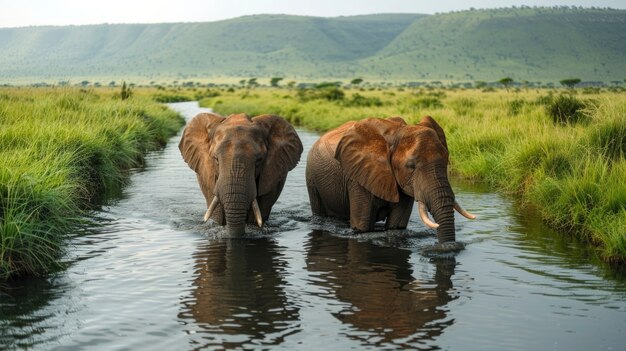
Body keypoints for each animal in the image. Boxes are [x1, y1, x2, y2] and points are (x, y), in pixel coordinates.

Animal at [304, 115, 472, 245]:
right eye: (410, 166)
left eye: (446, 161)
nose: (448, 247)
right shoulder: (358, 178)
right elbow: (362, 227)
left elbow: (396, 227)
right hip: (311, 179)